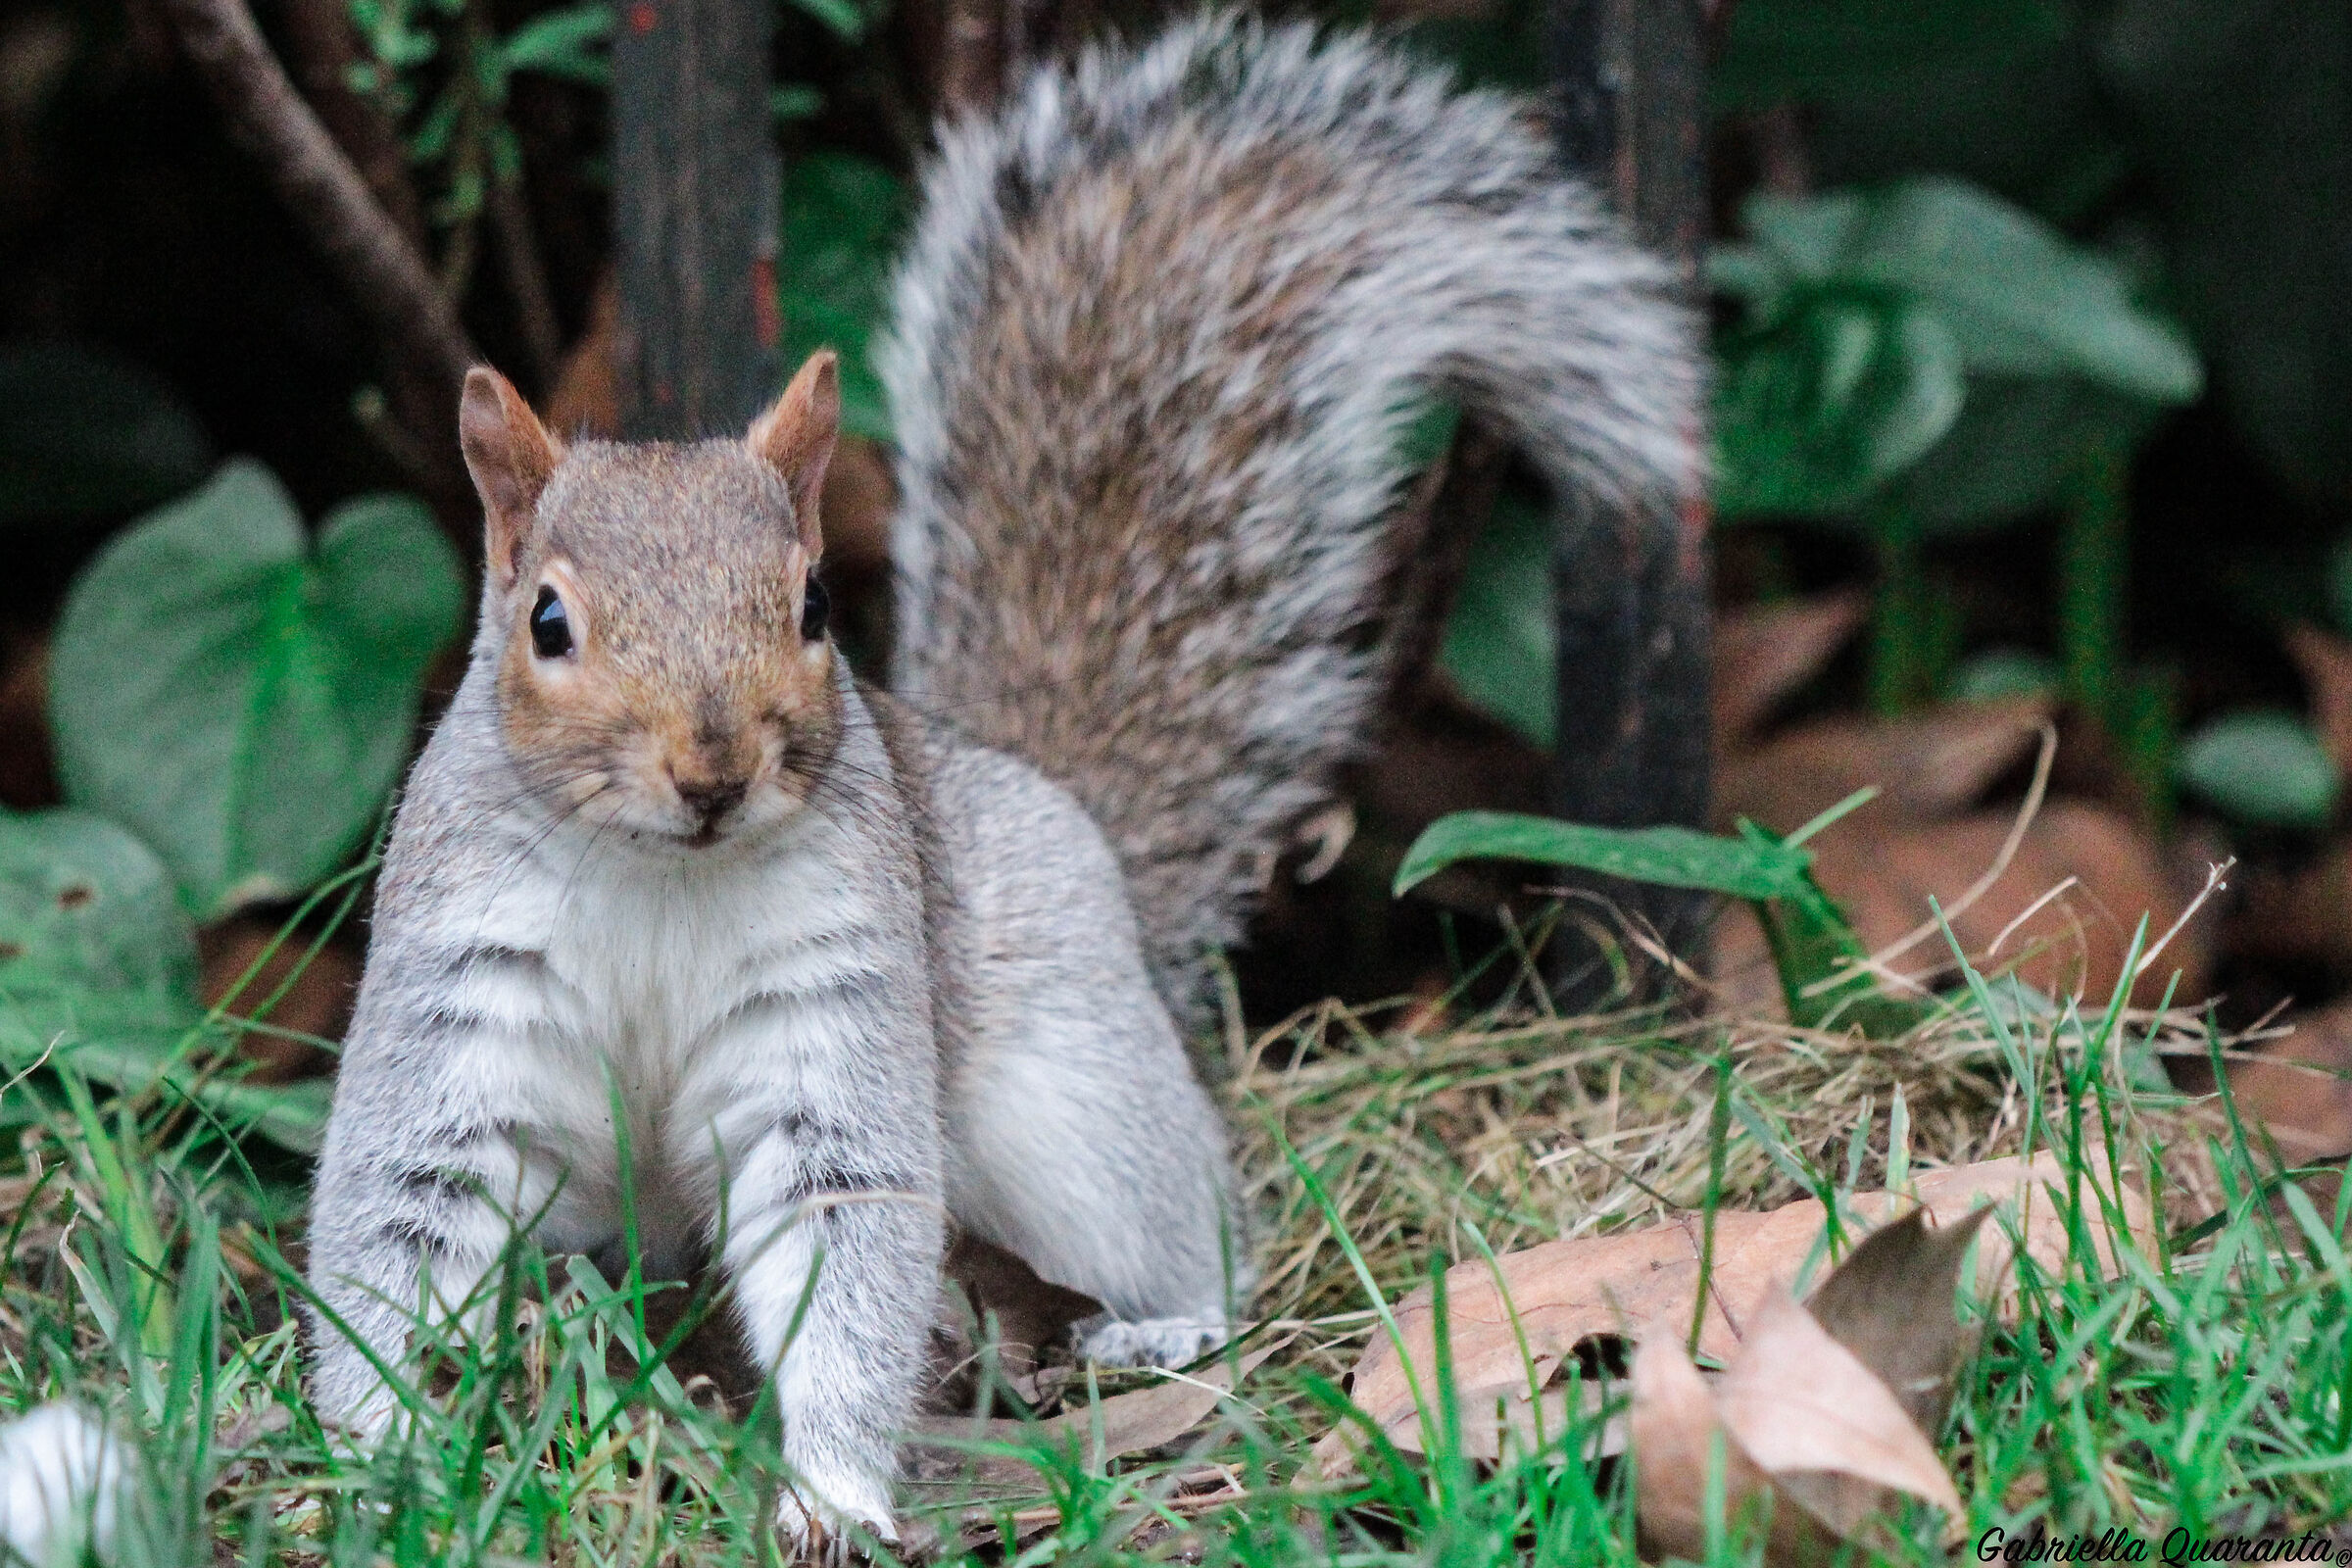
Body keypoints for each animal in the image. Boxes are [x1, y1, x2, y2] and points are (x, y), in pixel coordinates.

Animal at [304, 10, 1699, 1549]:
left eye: (812, 608)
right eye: (546, 622)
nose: (713, 767)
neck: (663, 876)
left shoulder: (836, 1011)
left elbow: (845, 1247)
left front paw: (834, 1496)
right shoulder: (458, 998)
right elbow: (393, 1221)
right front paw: (378, 1460)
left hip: (1072, 1102)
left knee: (1190, 1229)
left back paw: (1162, 1333)